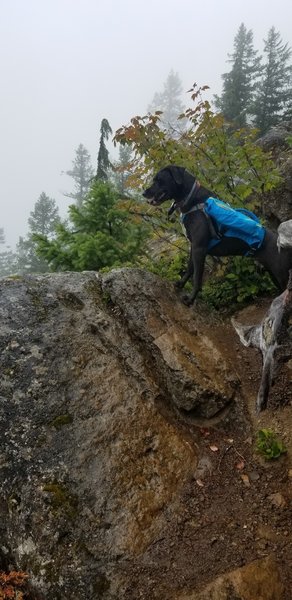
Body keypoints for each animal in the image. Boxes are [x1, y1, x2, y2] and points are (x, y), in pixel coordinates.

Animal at [143, 165, 292, 302]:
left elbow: (197, 277)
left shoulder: (199, 249)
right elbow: (190, 269)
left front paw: (191, 299)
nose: (144, 193)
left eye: (158, 180)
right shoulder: (194, 247)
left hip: (282, 277)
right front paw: (180, 284)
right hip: (273, 276)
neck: (192, 199)